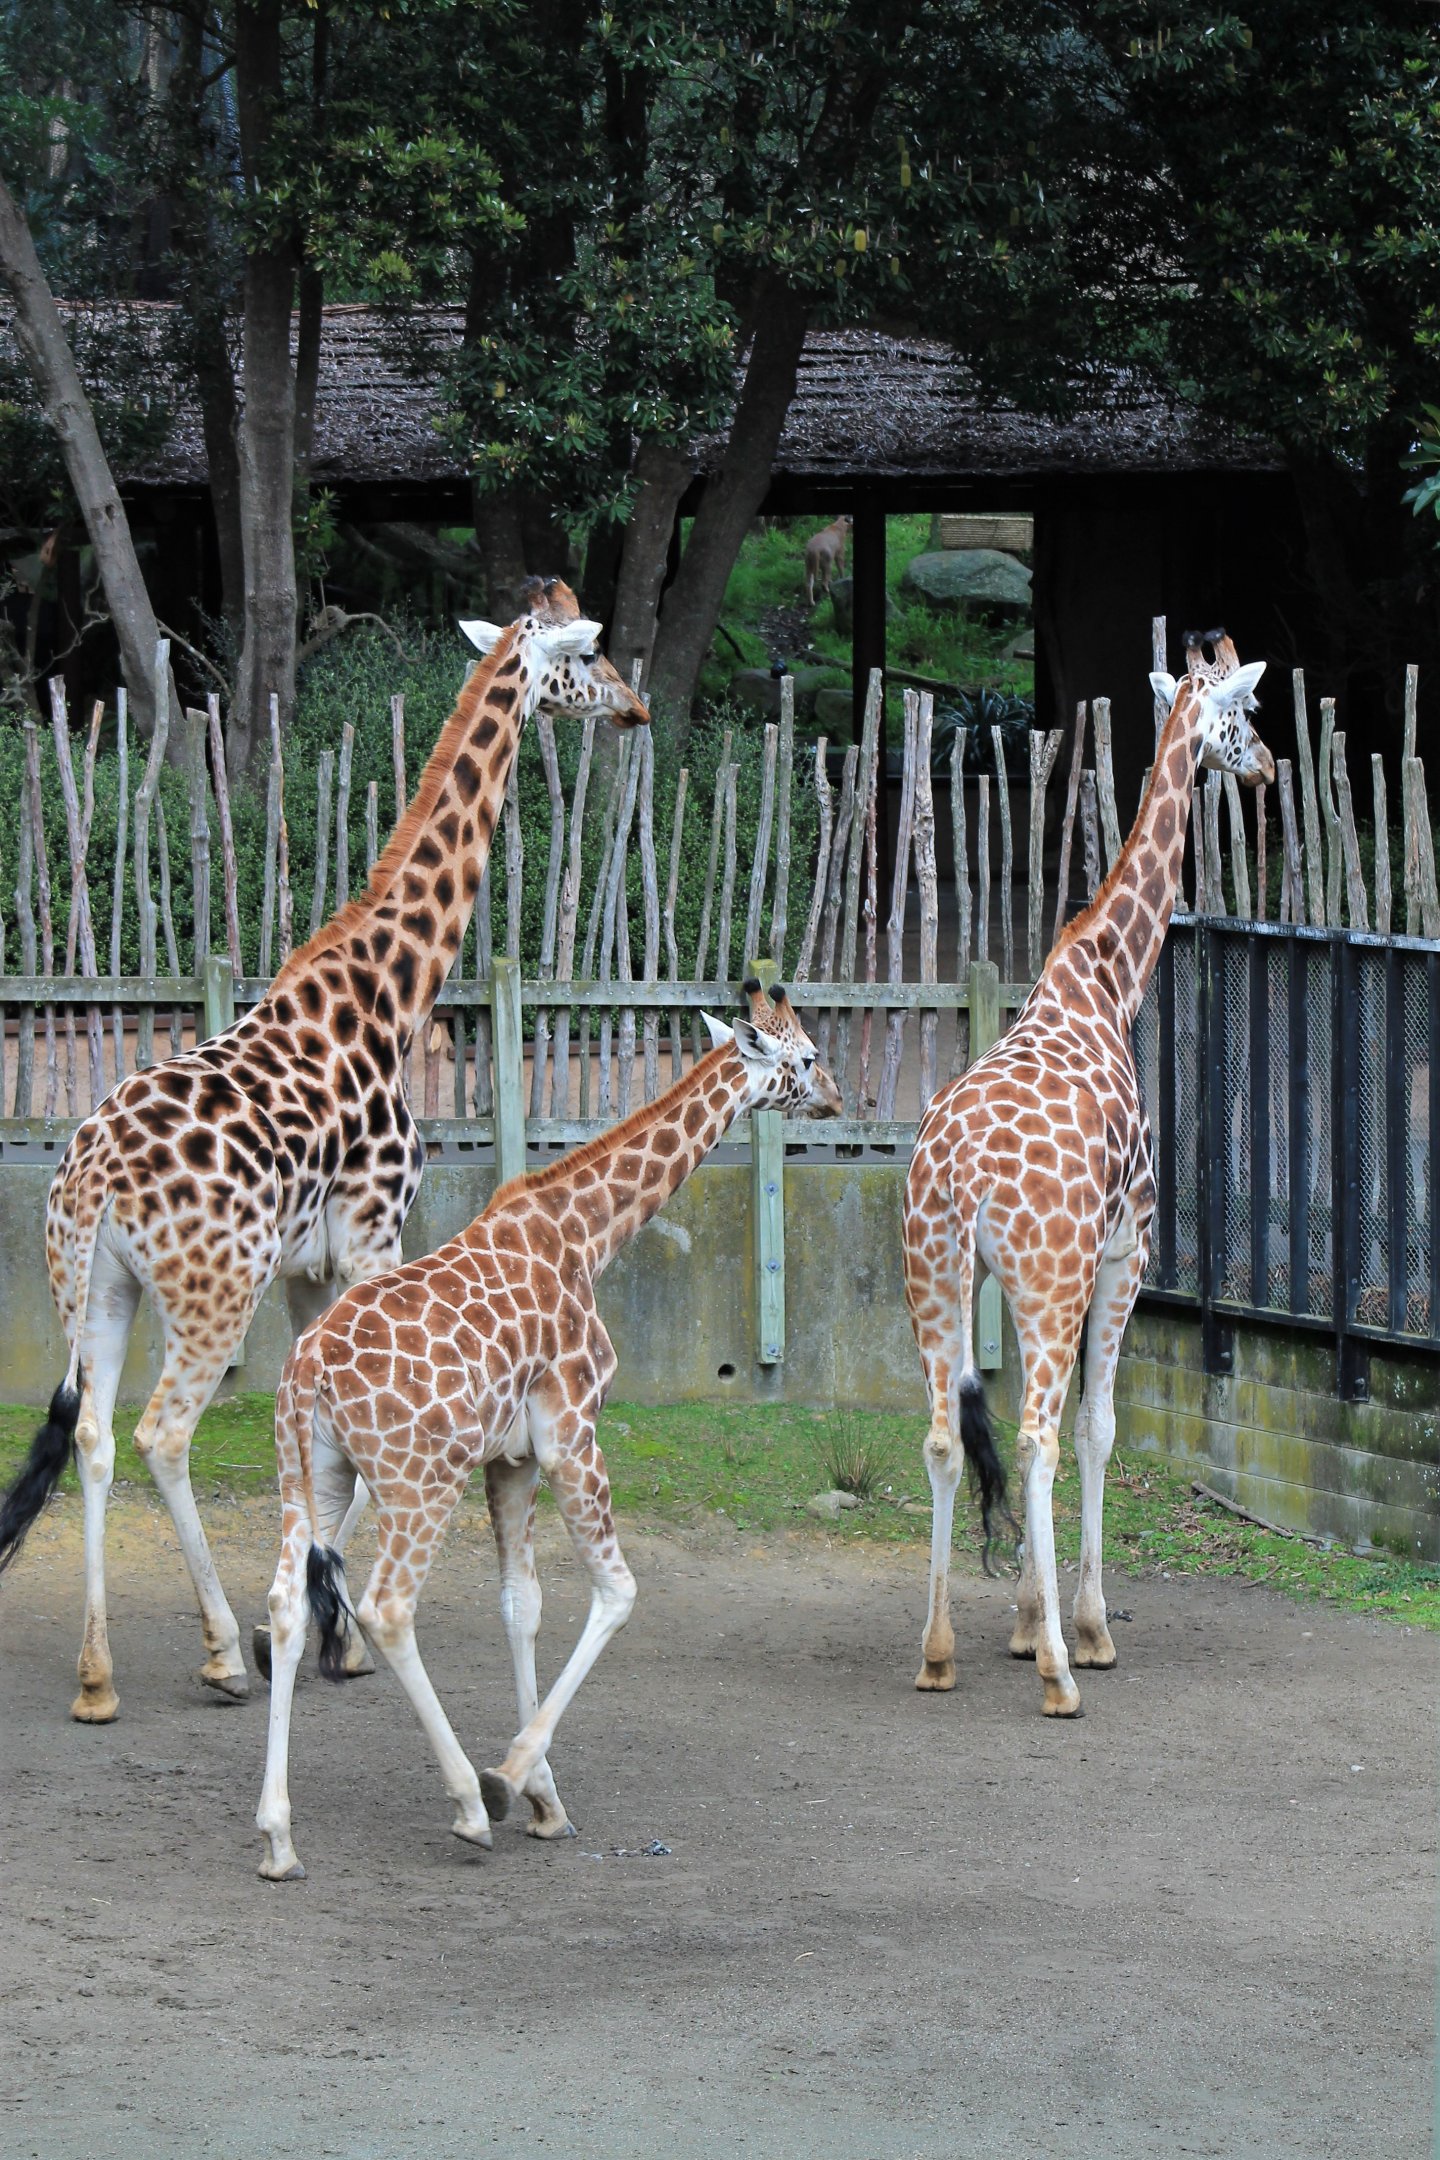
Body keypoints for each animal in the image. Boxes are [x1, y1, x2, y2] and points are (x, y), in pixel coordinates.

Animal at [0, 579, 648, 1725]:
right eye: (588, 656)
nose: (634, 707)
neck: (395, 987)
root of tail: (93, 1180)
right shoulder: (371, 1232)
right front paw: (309, 1632)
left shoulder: (310, 1268)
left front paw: (314, 1621)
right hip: (211, 1291)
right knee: (164, 1435)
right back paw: (217, 1651)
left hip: (93, 1286)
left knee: (94, 1436)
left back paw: (97, 1675)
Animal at [254, 981, 841, 1880]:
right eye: (805, 1056)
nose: (842, 1096)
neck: (589, 1234)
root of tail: (309, 1372)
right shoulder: (570, 1435)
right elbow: (617, 1592)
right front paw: (513, 1778)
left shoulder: (512, 1459)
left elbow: (520, 1604)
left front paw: (545, 1799)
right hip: (418, 1480)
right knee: (386, 1608)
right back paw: (467, 1803)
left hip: (311, 1473)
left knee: (287, 1604)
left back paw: (280, 1838)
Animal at [902, 631, 1272, 1716]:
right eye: (1246, 715)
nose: (1270, 768)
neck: (1109, 980)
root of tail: (960, 1173)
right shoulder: (1123, 1253)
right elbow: (1101, 1428)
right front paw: (1083, 1630)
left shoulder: (1017, 1283)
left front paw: (1026, 1621)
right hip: (1050, 1276)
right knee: (1034, 1437)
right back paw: (1065, 1676)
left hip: (936, 1275)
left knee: (946, 1437)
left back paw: (937, 1652)